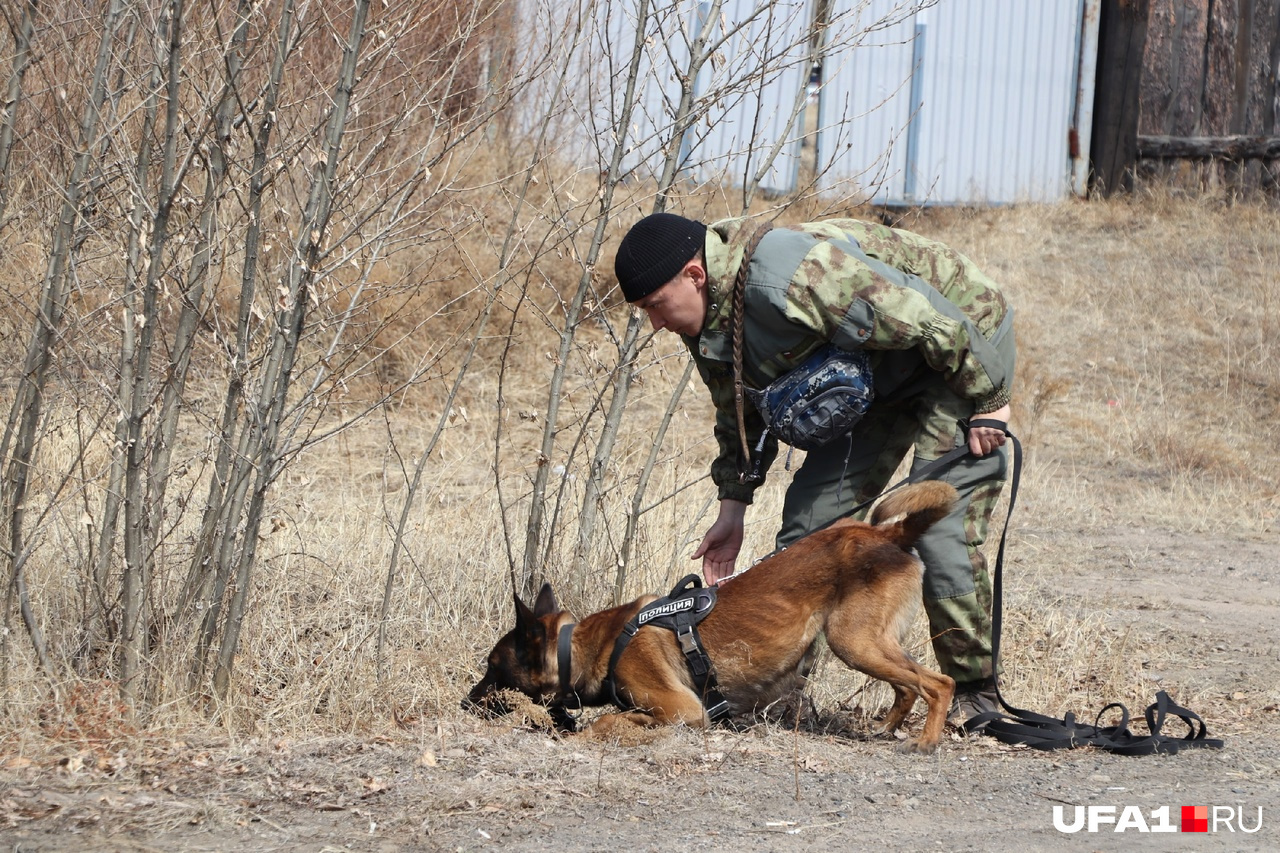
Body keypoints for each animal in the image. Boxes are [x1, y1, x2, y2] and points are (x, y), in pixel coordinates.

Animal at [465, 479, 957, 753]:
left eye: (493, 668)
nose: (465, 702)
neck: (591, 645)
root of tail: (890, 534)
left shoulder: (684, 709)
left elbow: (608, 721)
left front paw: (586, 735)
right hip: (869, 643)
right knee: (907, 687)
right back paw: (887, 728)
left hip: (853, 642)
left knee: (938, 683)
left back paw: (926, 741)